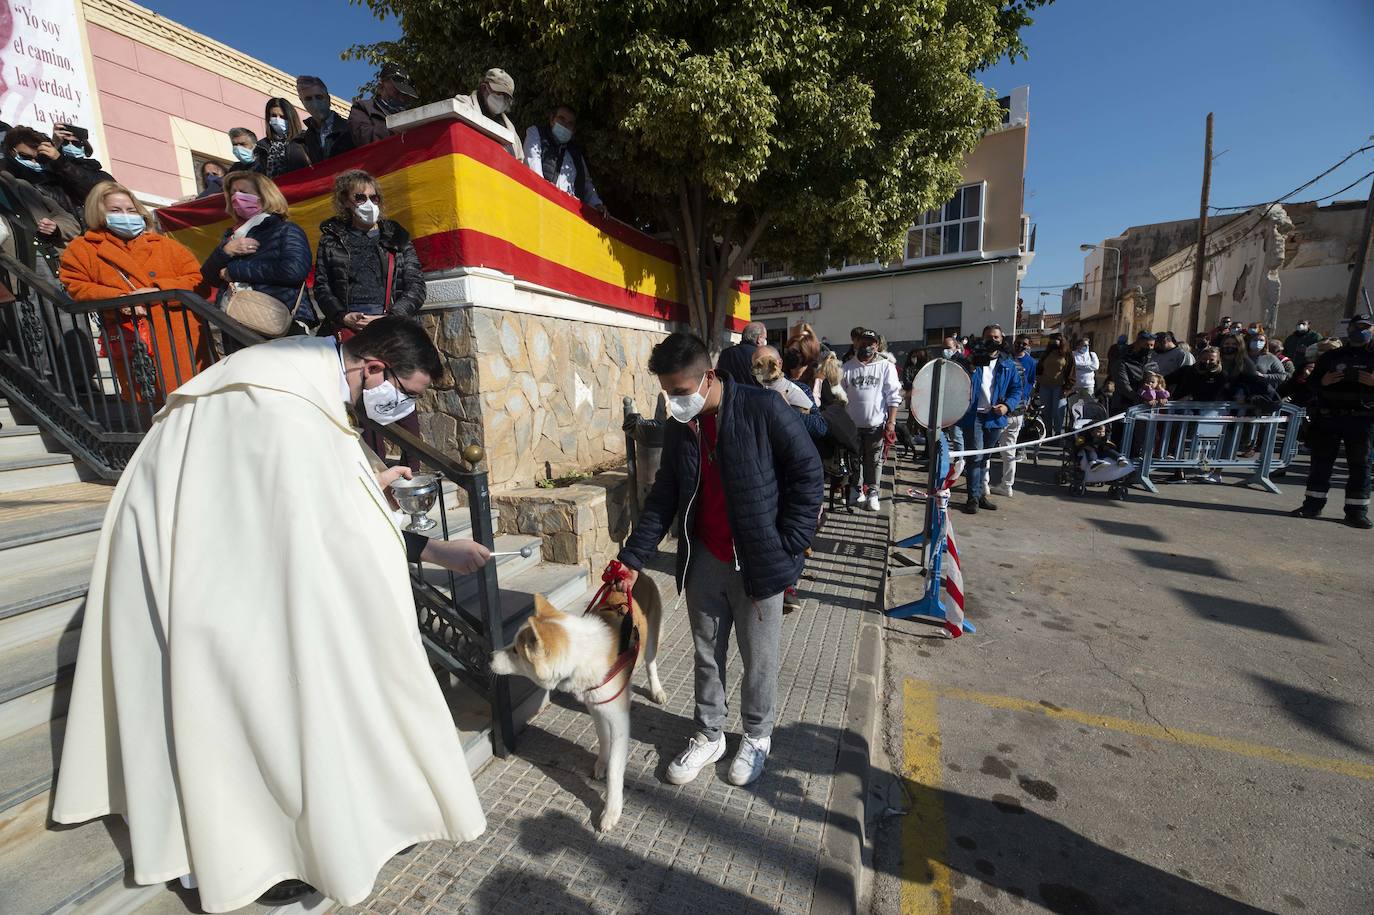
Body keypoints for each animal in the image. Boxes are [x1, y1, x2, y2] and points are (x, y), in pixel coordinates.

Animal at [491, 574, 667, 829]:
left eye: (516, 651)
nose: (489, 657)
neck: (583, 657)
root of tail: (639, 574)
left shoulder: (620, 720)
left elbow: (615, 771)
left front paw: (611, 811)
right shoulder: (595, 706)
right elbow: (603, 738)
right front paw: (602, 762)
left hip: (652, 638)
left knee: (651, 663)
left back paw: (657, 690)